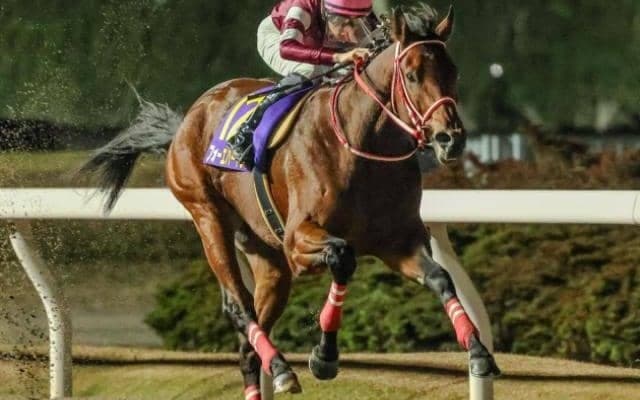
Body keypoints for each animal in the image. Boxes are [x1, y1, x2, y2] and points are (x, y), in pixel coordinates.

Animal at [81, 5, 500, 397]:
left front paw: (479, 353)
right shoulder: (298, 239)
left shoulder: (397, 242)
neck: (362, 145)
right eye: (412, 75)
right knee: (237, 304)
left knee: (248, 343)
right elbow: (343, 258)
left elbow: (440, 277)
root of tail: (188, 119)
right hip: (207, 215)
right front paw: (324, 356)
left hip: (266, 256)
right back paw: (282, 368)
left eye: (453, 73)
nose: (451, 139)